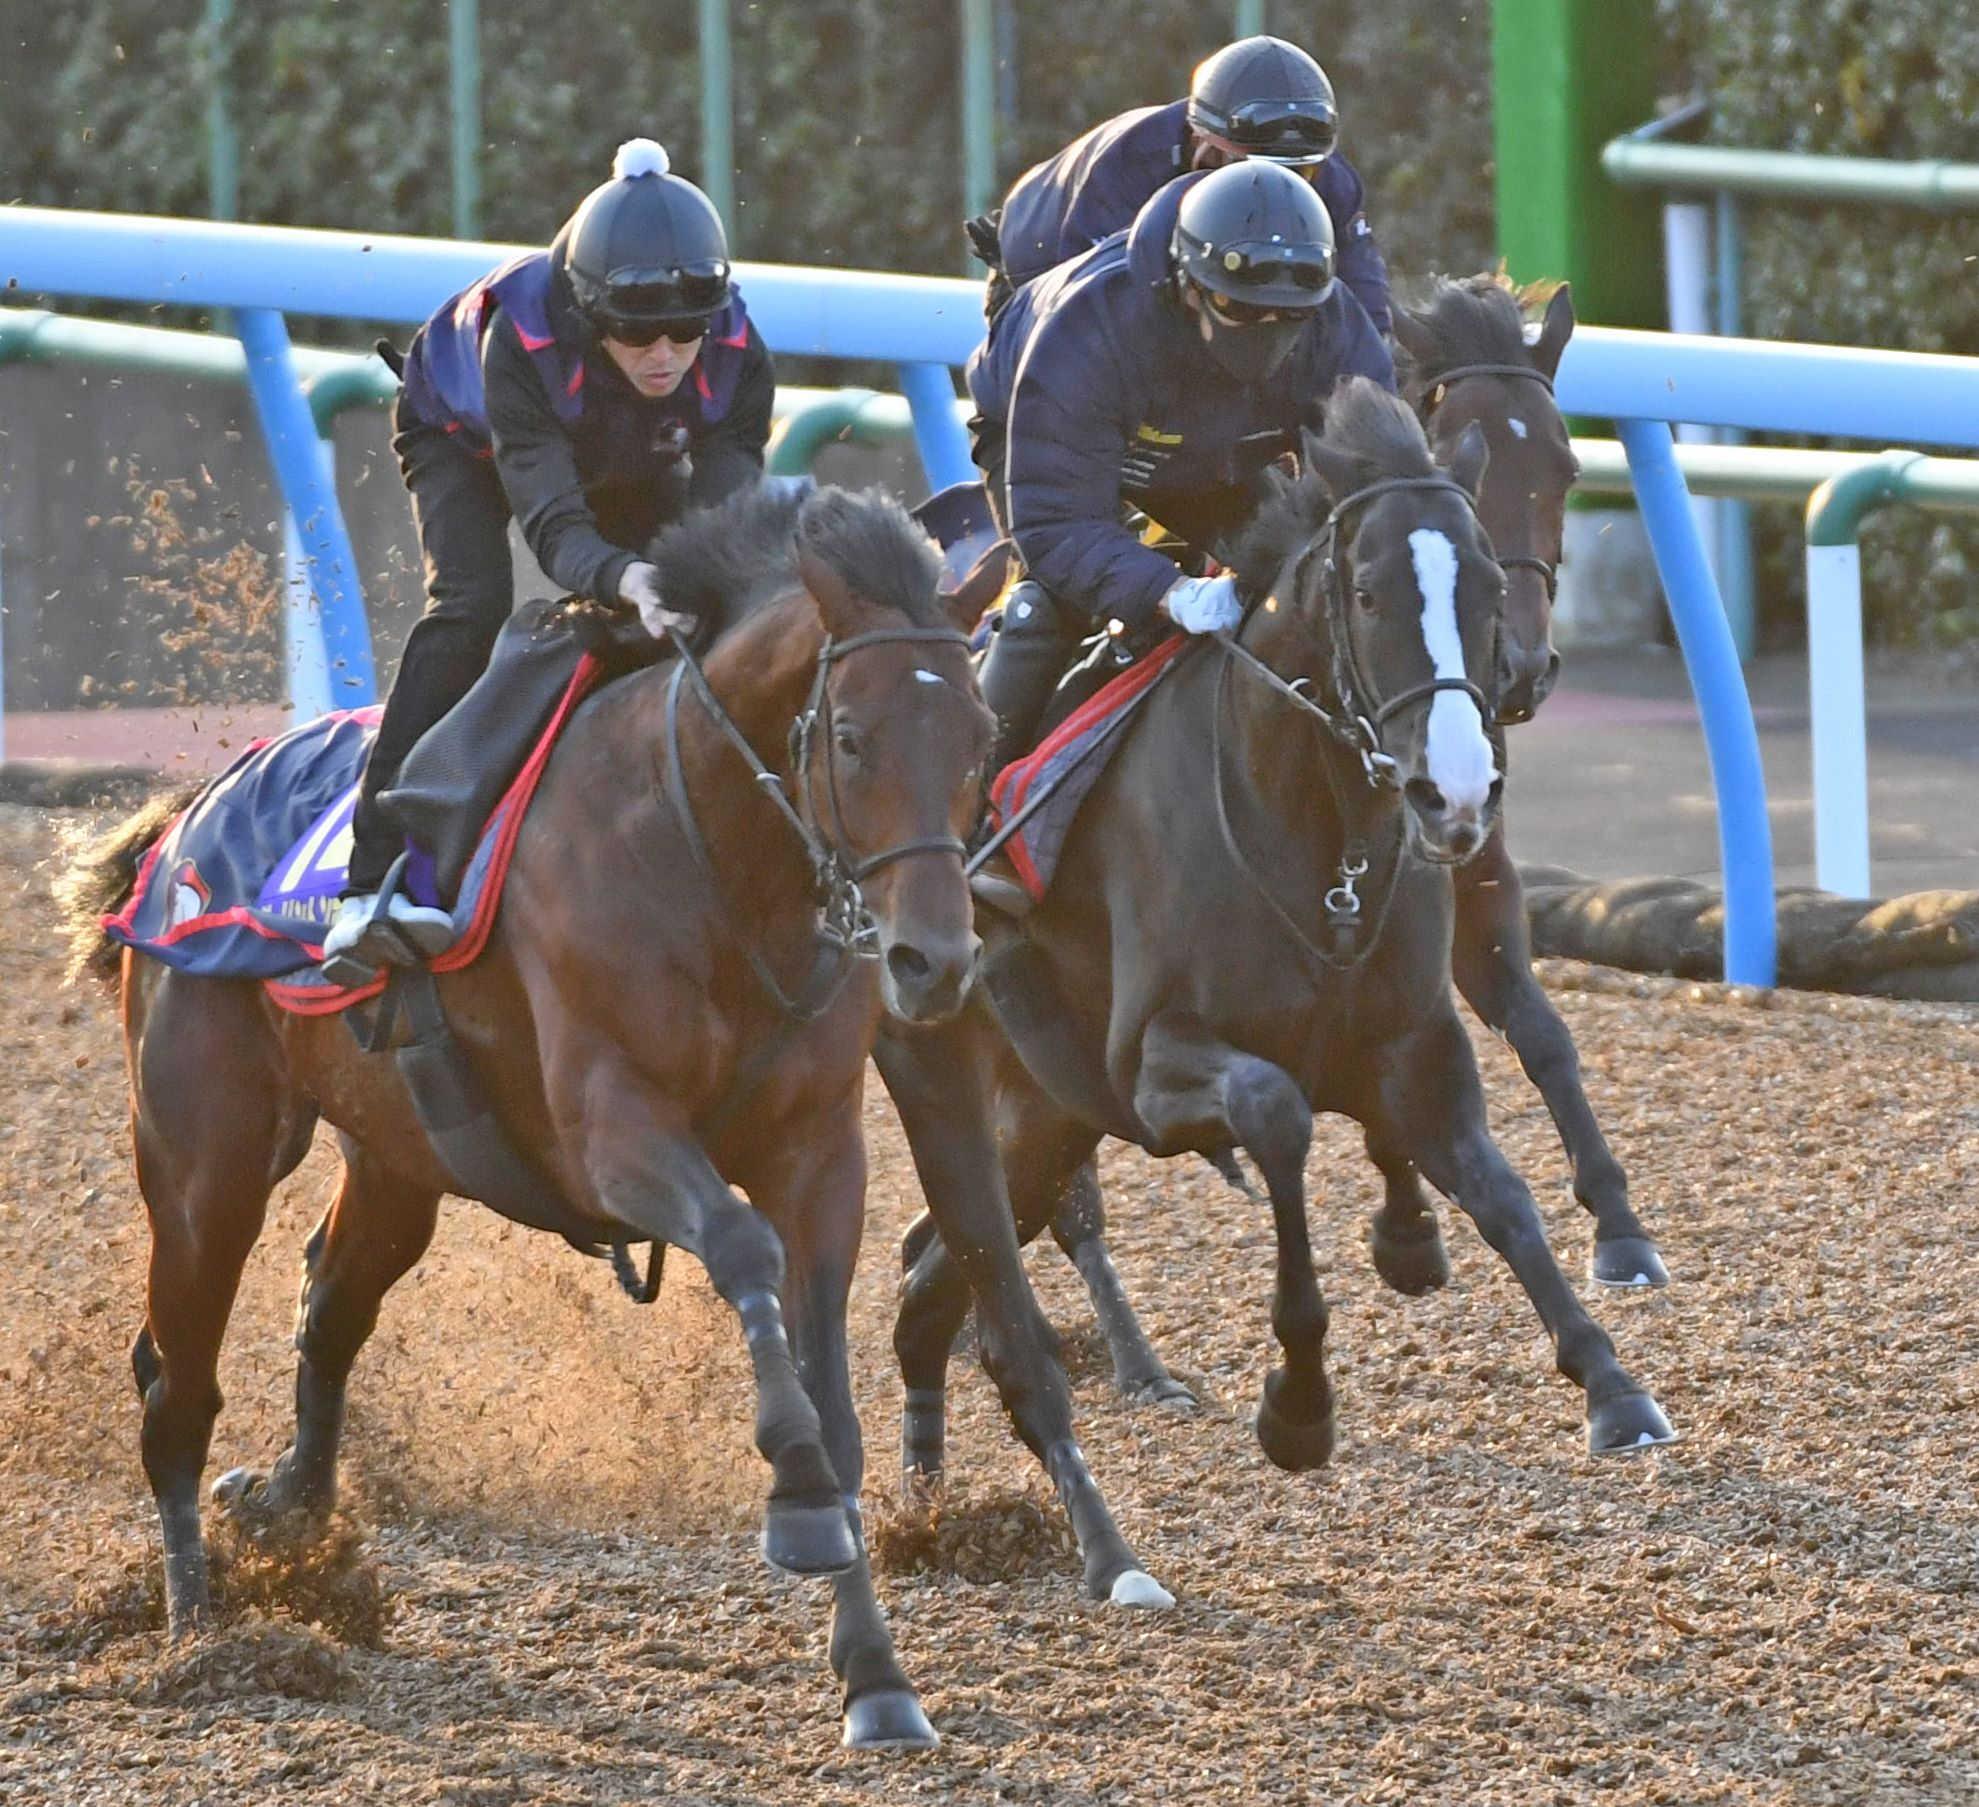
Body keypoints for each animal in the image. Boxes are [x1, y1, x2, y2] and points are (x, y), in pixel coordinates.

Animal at [65, 478, 1005, 1749]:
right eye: (849, 737)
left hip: (397, 1158)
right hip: (200, 1162)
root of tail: (182, 824)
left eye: (981, 738)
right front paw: (799, 1501)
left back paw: (287, 1511)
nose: (931, 960)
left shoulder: (819, 1154)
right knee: (176, 1381)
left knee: (329, 1302)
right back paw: (199, 1632)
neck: (710, 854)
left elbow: (834, 1394)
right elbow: (742, 1252)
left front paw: (876, 1678)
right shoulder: (611, 1130)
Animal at [878, 383, 1670, 1583]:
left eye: (1485, 585)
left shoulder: (1417, 1040)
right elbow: (1279, 1114)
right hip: (963, 1076)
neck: (1310, 827)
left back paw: (927, 1507)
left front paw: (1610, 1380)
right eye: (1368, 590)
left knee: (929, 1277)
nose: (1455, 791)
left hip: (1042, 1116)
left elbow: (1502, 1192)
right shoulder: (1151, 1066)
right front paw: (1298, 1404)